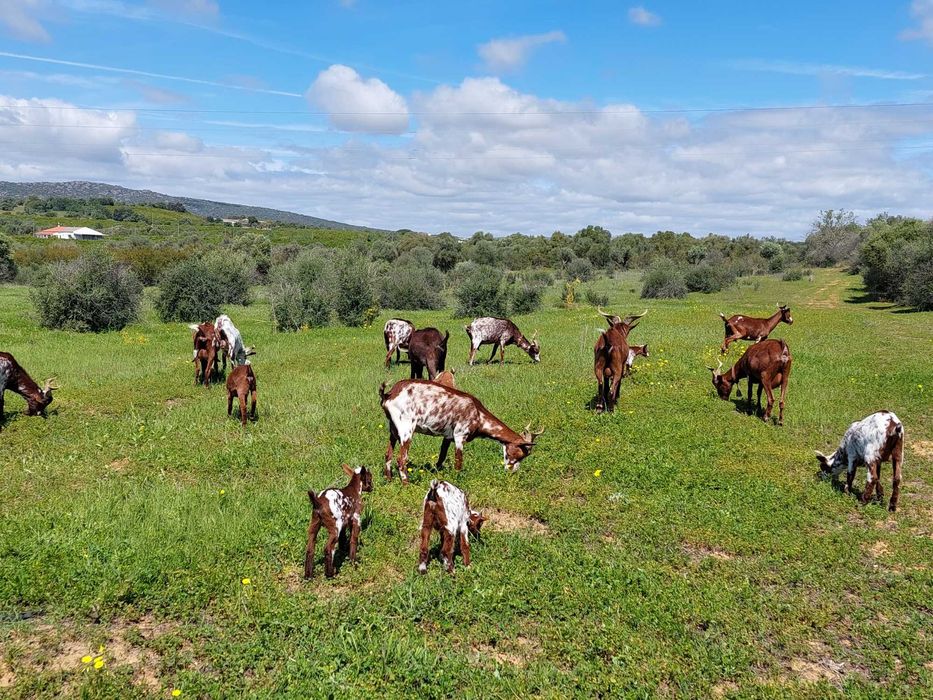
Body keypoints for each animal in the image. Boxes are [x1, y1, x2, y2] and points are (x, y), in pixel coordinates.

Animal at [380, 379, 543, 483]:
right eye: (521, 454)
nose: (512, 472)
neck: (478, 414)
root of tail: (389, 394)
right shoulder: (459, 436)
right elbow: (459, 462)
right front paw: (457, 481)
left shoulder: (448, 436)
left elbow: (441, 457)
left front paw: (437, 474)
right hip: (406, 428)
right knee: (401, 459)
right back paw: (406, 484)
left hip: (393, 429)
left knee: (388, 454)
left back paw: (389, 479)